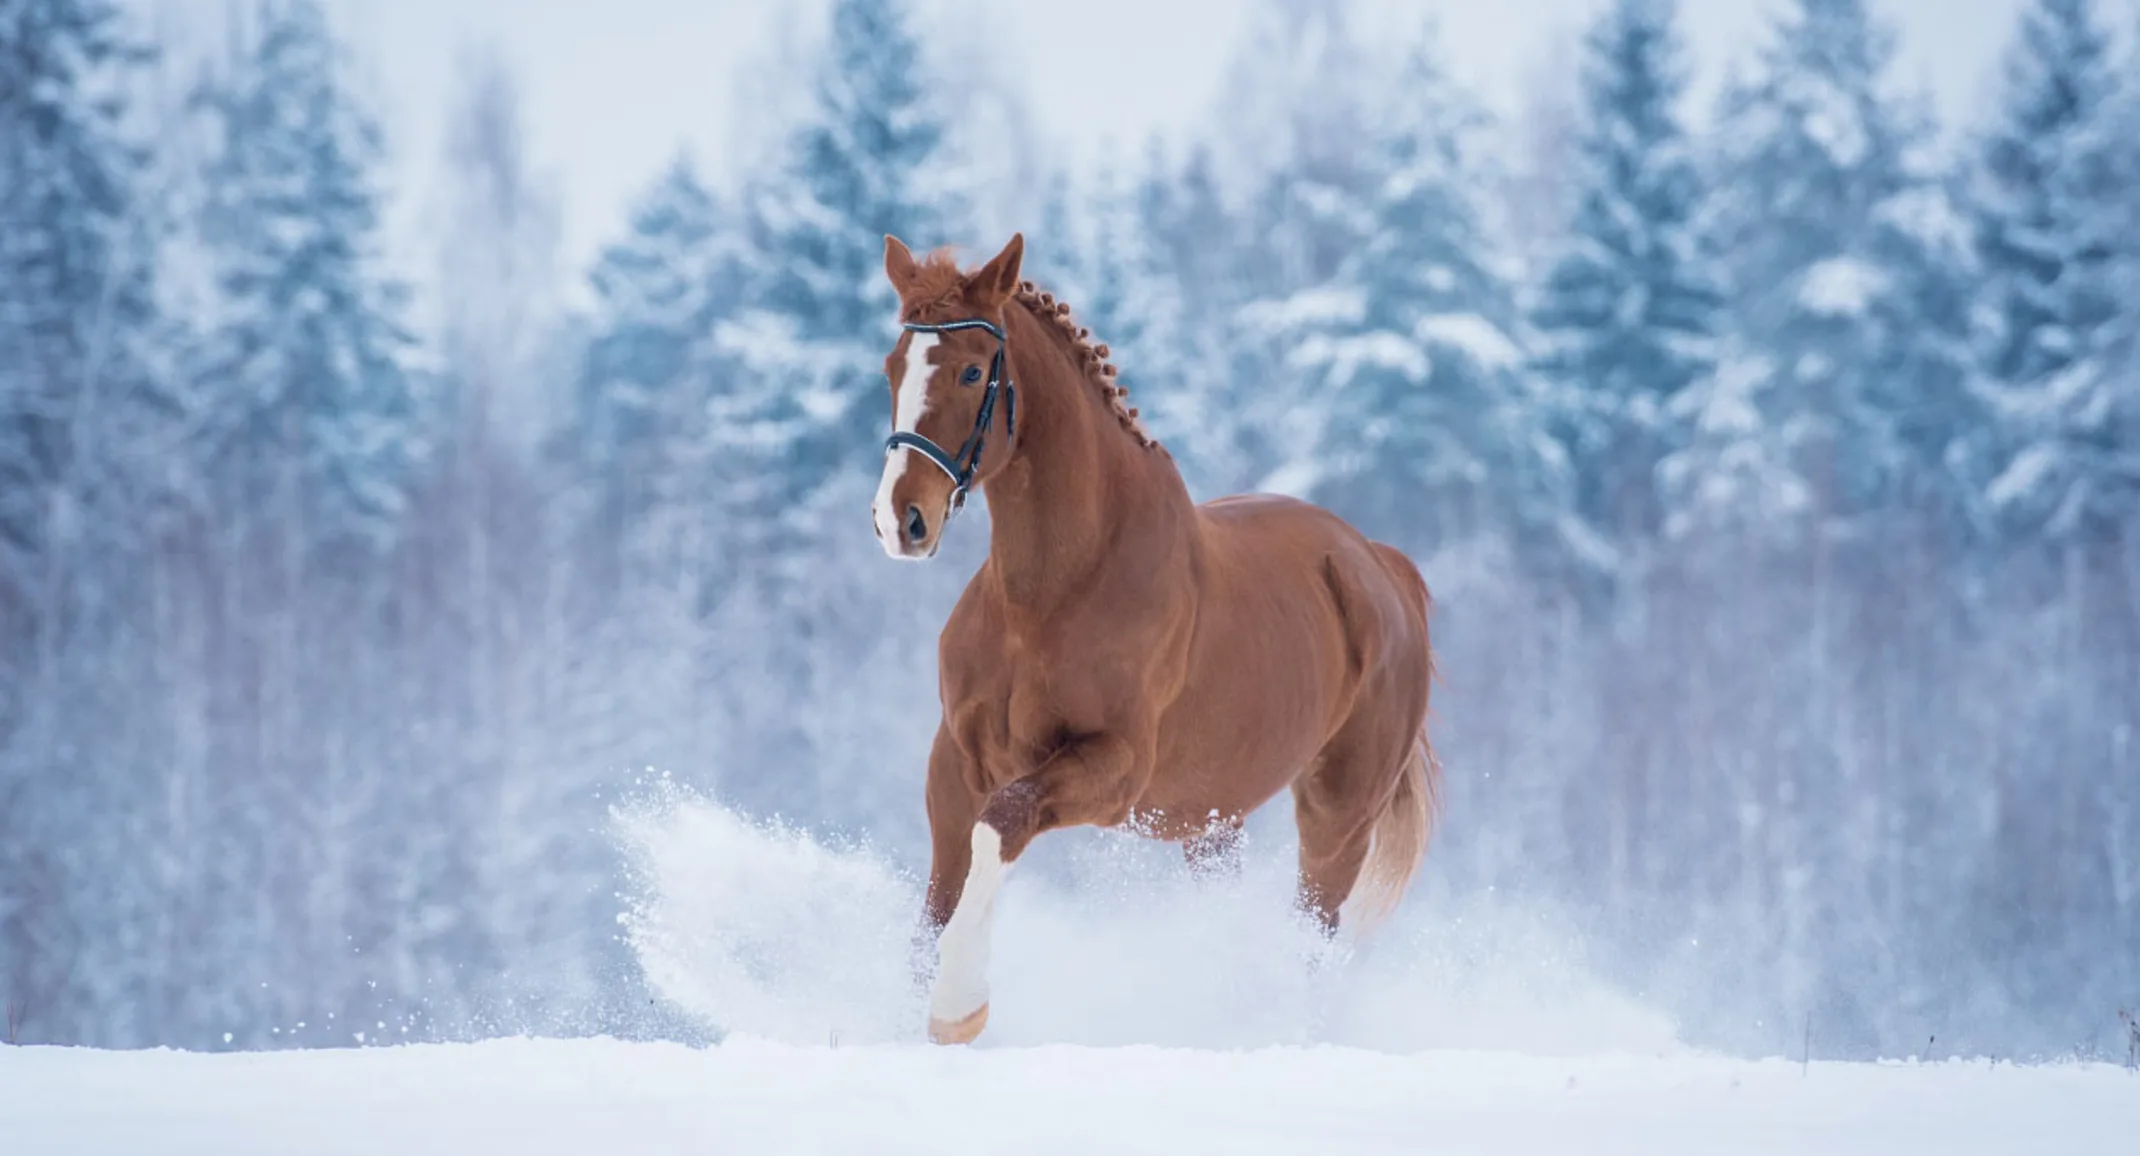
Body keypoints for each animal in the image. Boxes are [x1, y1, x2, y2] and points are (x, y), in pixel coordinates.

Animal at [877, 230, 1446, 1044]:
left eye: (972, 369)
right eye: (893, 366)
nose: (902, 520)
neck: (1049, 597)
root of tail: (1383, 568)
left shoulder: (1112, 769)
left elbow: (1000, 827)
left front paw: (959, 1009)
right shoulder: (955, 759)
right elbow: (939, 896)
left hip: (1338, 816)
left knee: (1315, 932)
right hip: (1212, 825)